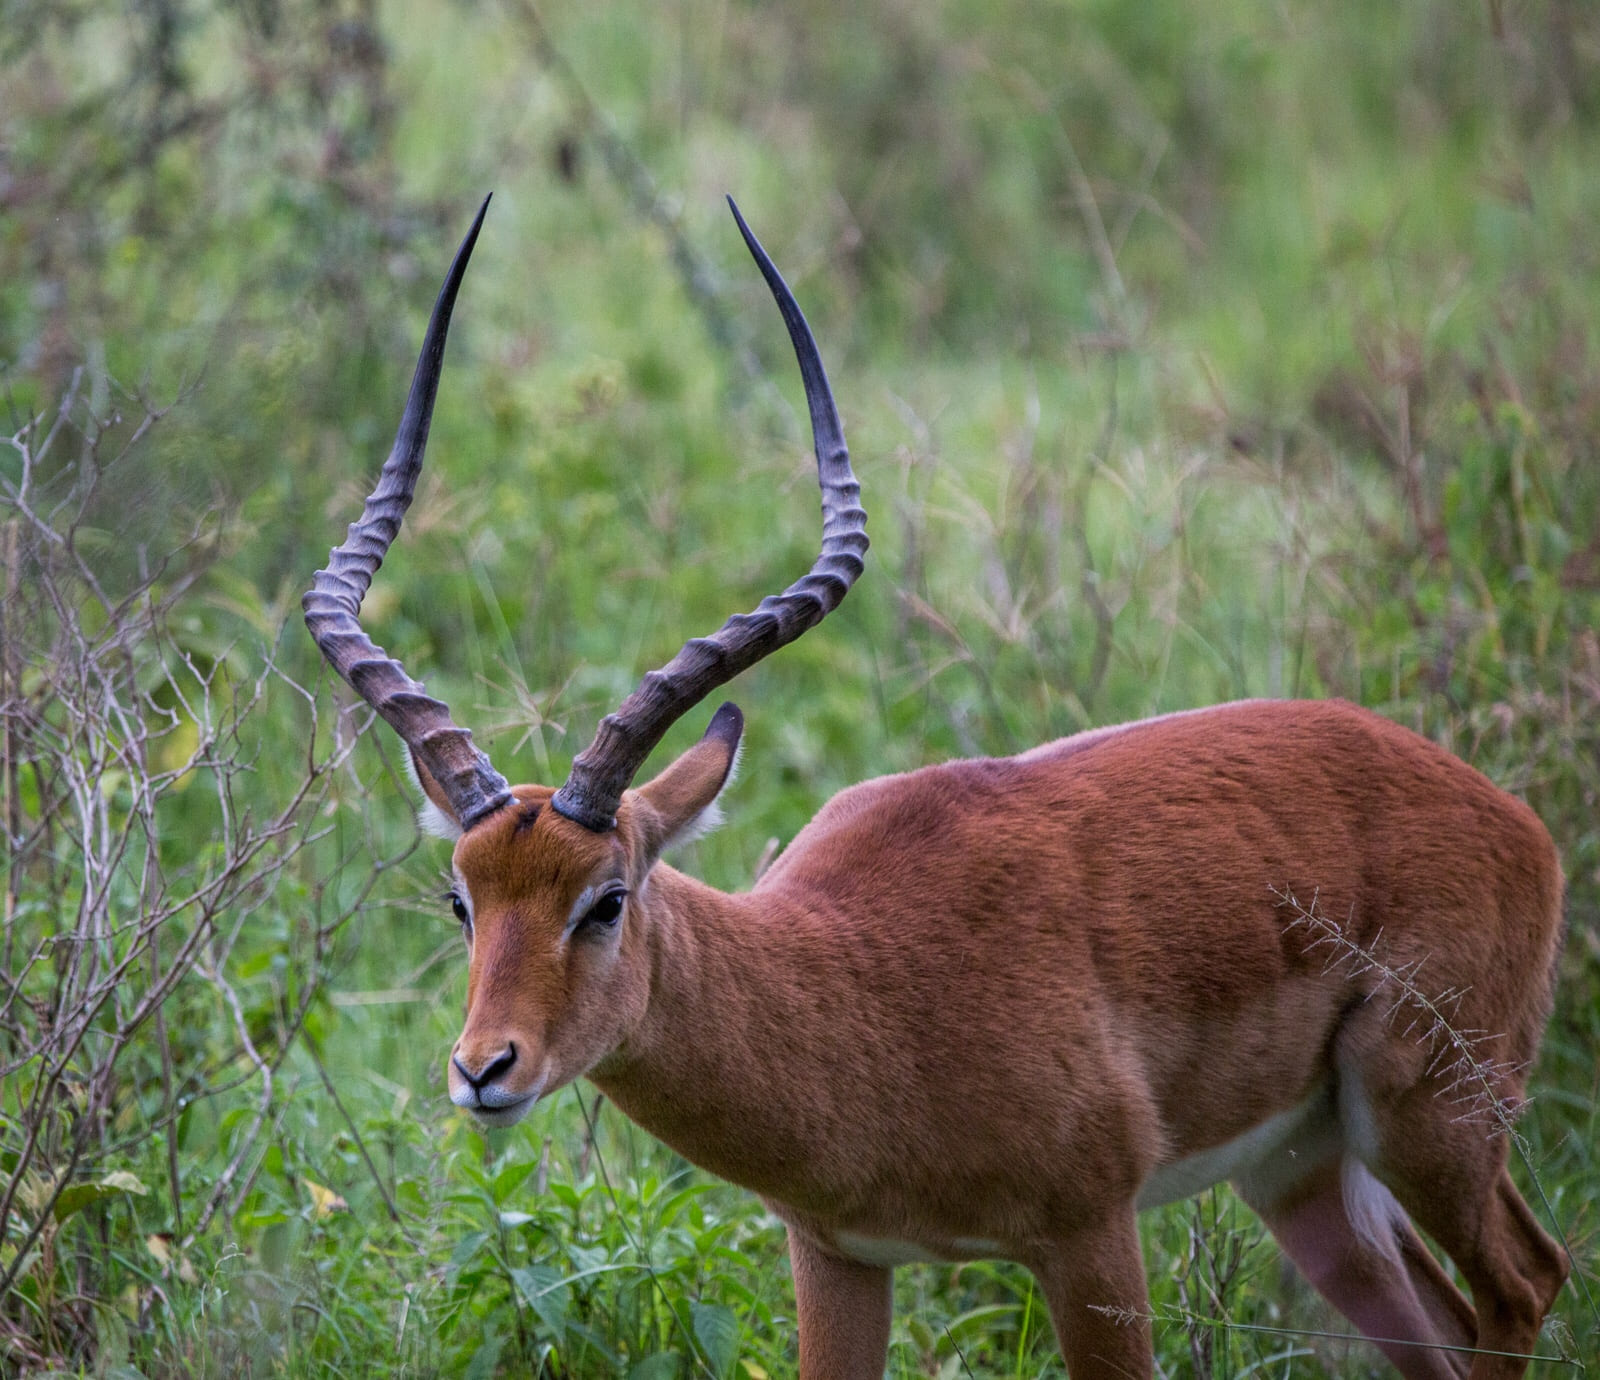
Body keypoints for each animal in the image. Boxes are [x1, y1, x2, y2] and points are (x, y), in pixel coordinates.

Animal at [305, 197, 1569, 1380]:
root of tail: (1510, 819)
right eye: (462, 900)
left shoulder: (1089, 1235)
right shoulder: (837, 1254)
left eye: (604, 899)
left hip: (1430, 1116)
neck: (856, 992)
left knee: (1524, 1284)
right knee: (1440, 1327)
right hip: (1302, 1172)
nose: (484, 1070)